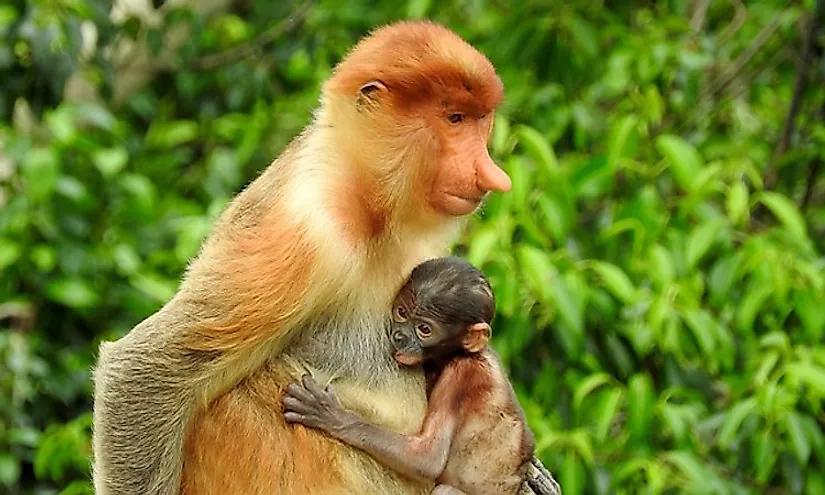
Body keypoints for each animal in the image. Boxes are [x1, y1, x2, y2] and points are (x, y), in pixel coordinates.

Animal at [93, 19, 512, 495]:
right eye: (454, 118)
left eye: (480, 120)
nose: (491, 175)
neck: (366, 201)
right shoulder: (305, 233)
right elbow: (141, 374)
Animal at [282, 258, 560, 495]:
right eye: (402, 312)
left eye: (424, 329)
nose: (399, 337)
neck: (461, 353)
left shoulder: (459, 375)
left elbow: (428, 458)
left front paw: (331, 416)